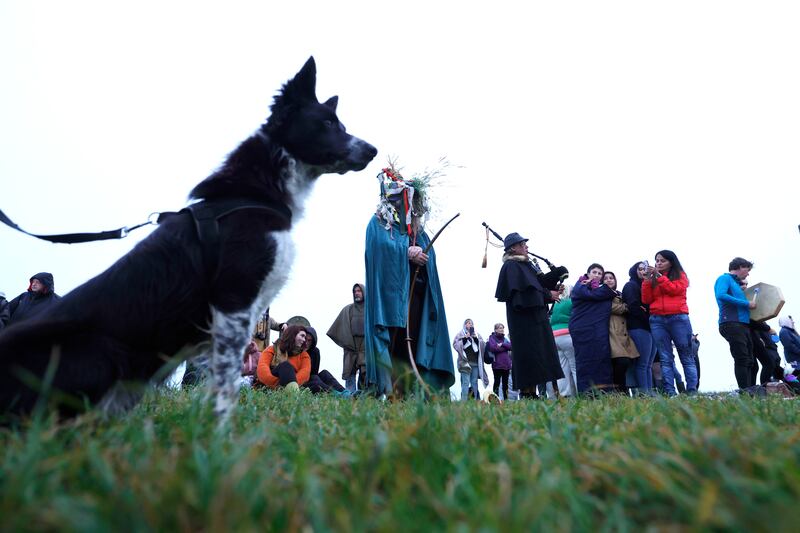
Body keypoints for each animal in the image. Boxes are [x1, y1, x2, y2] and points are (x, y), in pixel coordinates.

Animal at [0, 57, 378, 420]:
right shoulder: (234, 301)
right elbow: (224, 390)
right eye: (327, 124)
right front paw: (219, 436)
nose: (372, 150)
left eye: (341, 125)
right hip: (99, 351)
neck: (254, 191)